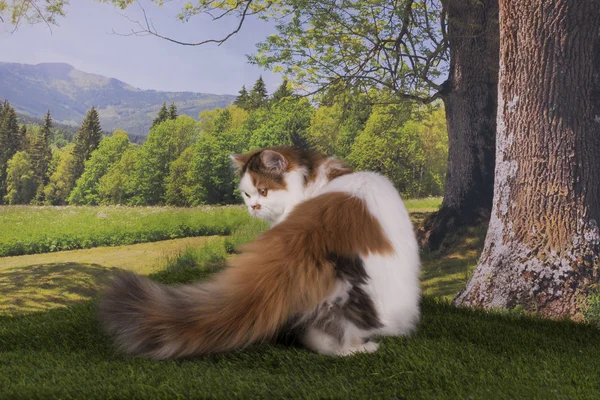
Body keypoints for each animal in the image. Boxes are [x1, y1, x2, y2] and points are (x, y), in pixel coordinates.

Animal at [98, 147, 420, 360]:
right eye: (246, 194)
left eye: (263, 191)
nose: (252, 206)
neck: (323, 178)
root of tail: (323, 226)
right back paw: (364, 347)